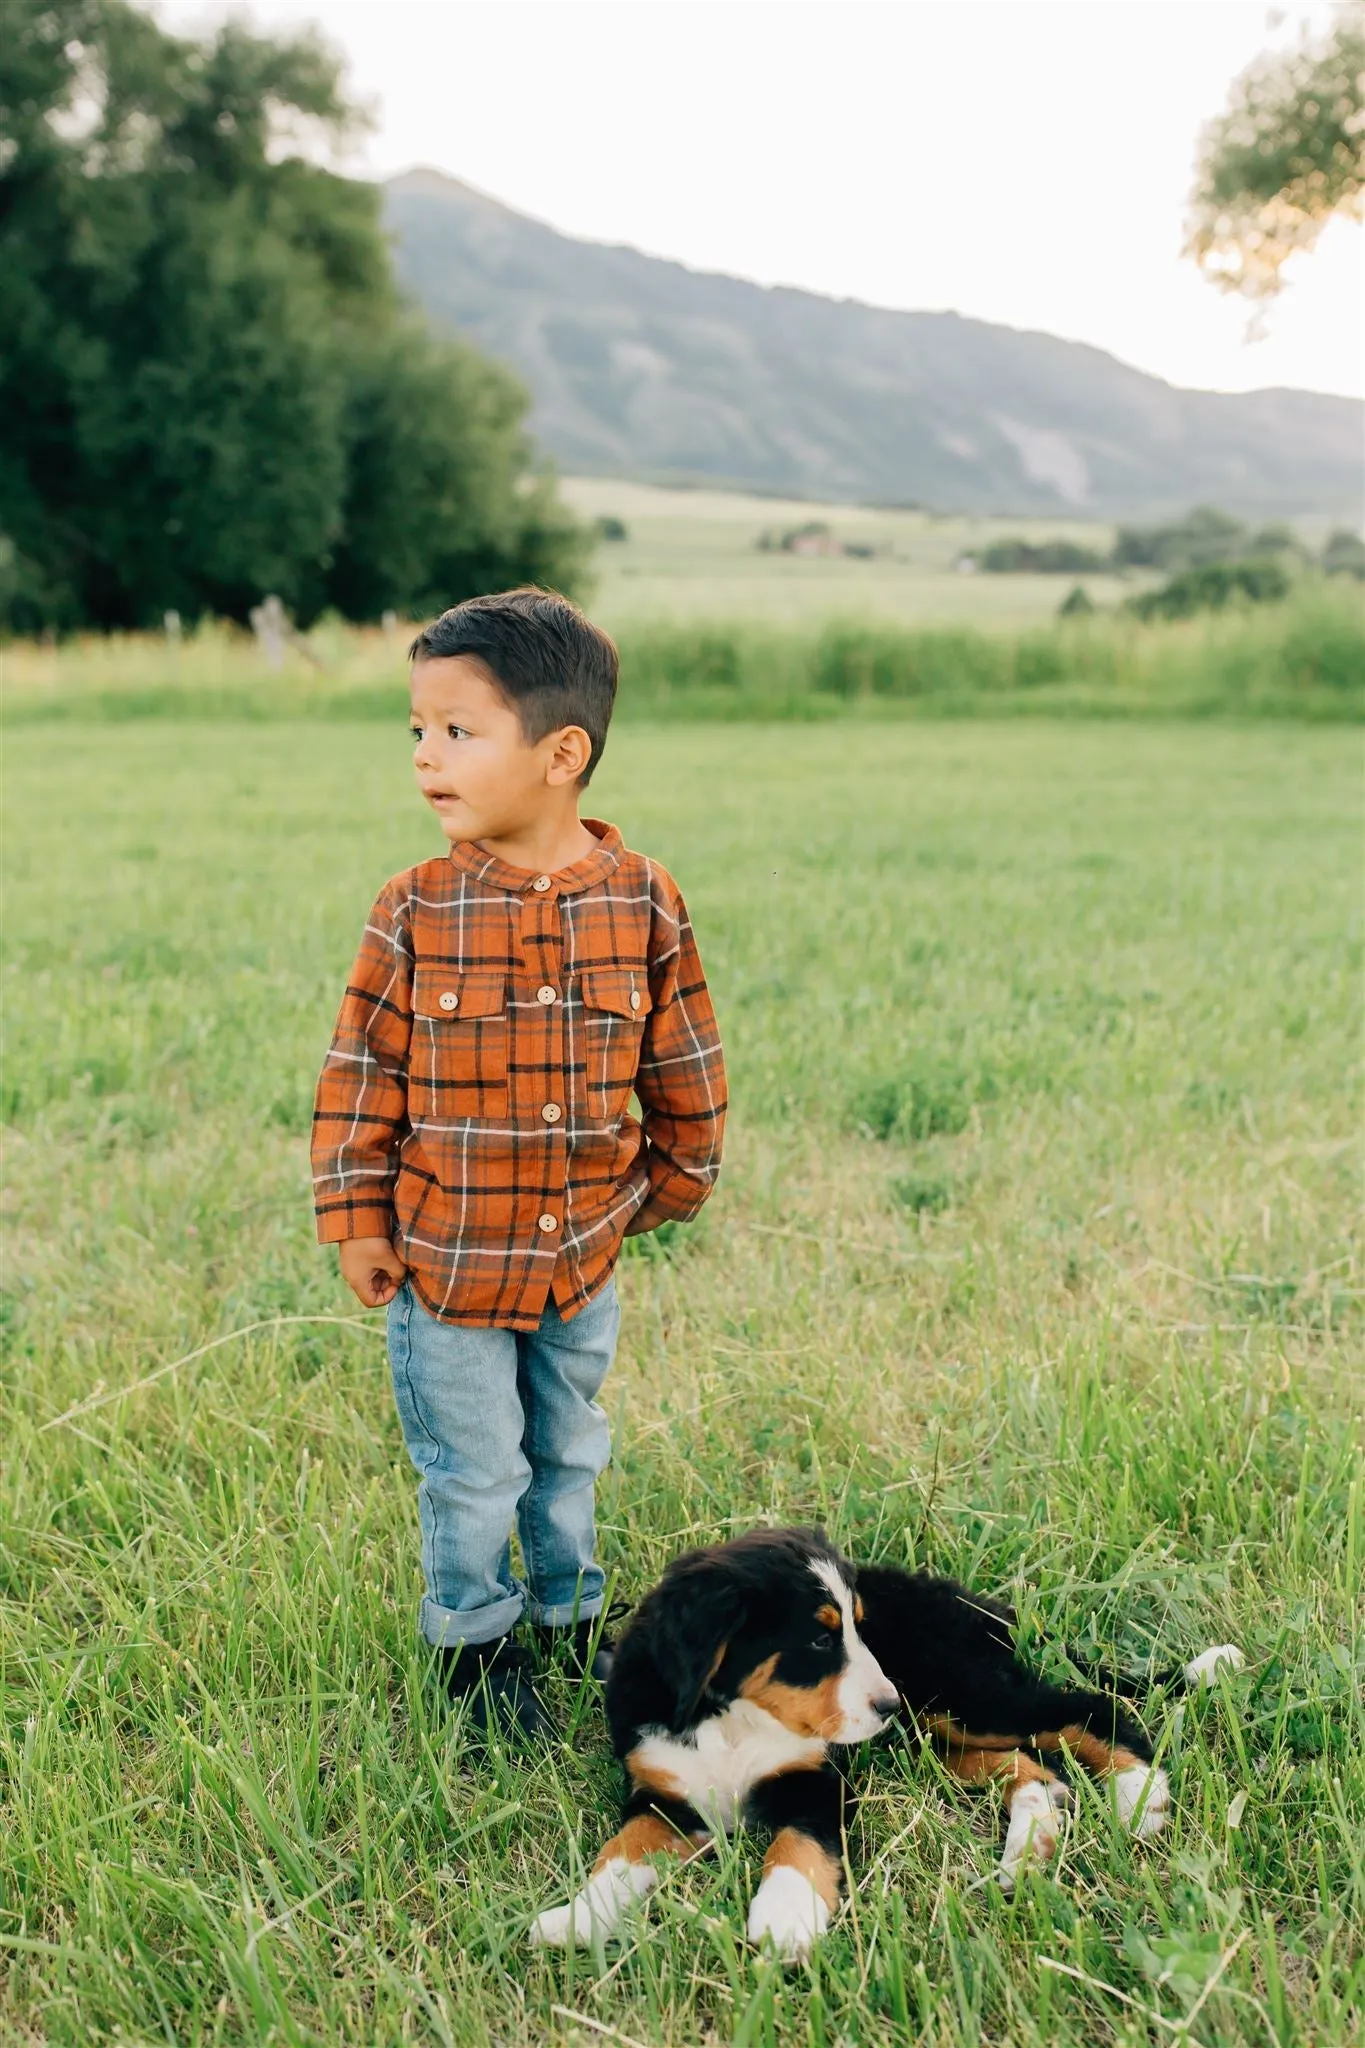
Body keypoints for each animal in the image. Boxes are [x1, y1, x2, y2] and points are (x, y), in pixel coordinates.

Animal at [532, 1531, 1252, 1957]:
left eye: (859, 1628)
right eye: (819, 1639)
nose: (884, 1704)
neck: (733, 1720)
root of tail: (983, 1606)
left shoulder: (816, 1780)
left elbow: (797, 1846)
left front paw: (785, 1918)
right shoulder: (663, 1794)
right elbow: (619, 1854)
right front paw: (576, 1919)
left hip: (959, 1693)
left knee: (1089, 1709)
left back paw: (1138, 1796)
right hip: (936, 1732)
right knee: (1031, 1768)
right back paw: (1027, 1850)